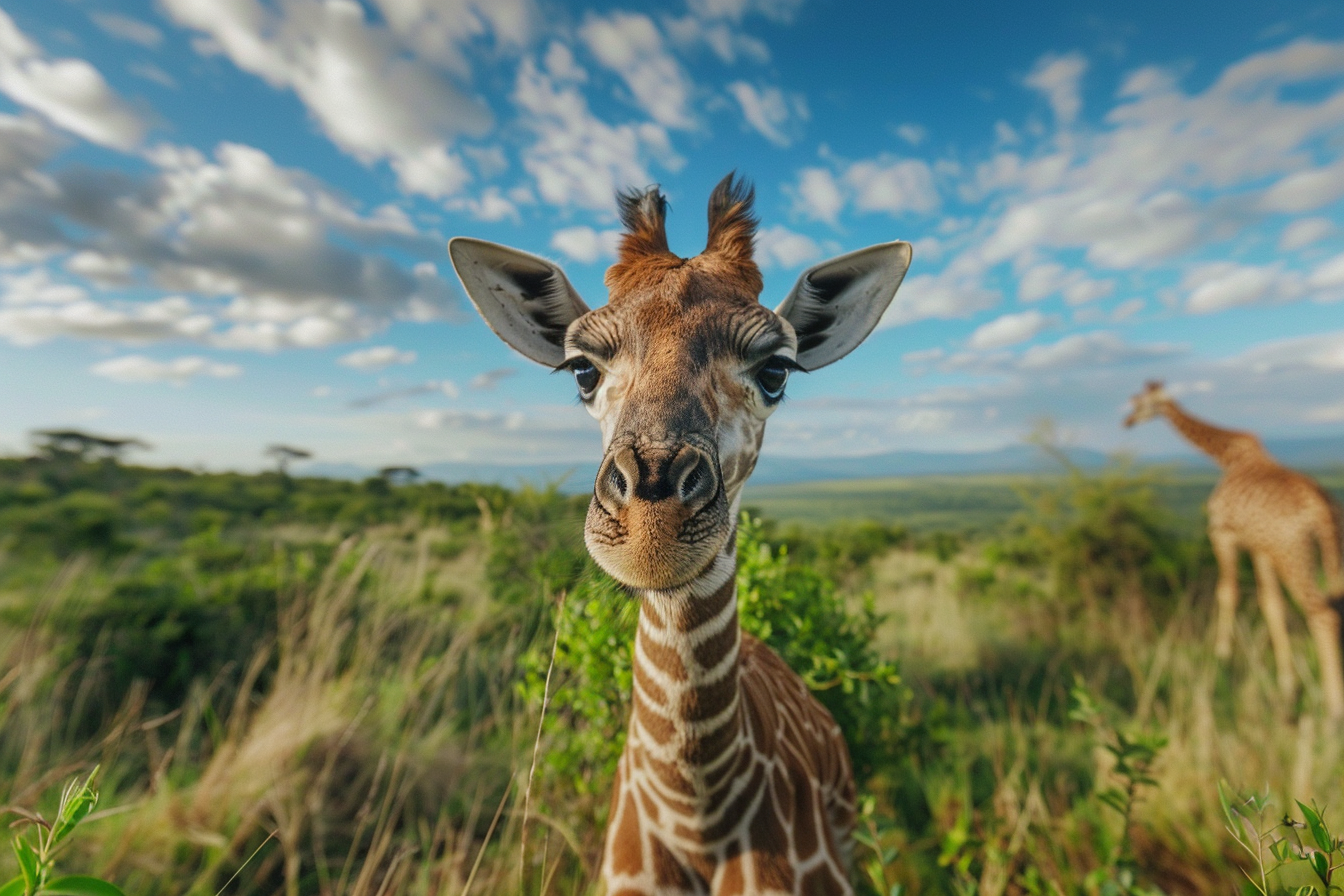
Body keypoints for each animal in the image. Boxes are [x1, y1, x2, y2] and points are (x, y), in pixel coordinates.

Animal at [1124, 380, 1344, 719]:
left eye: (1139, 403)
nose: (1127, 422)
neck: (1226, 455)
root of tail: (1321, 510)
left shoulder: (1223, 535)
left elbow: (1227, 593)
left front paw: (1221, 656)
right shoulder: (1260, 548)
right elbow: (1271, 605)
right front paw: (1286, 685)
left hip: (1292, 554)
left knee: (1322, 615)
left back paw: (1334, 708)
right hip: (1332, 552)